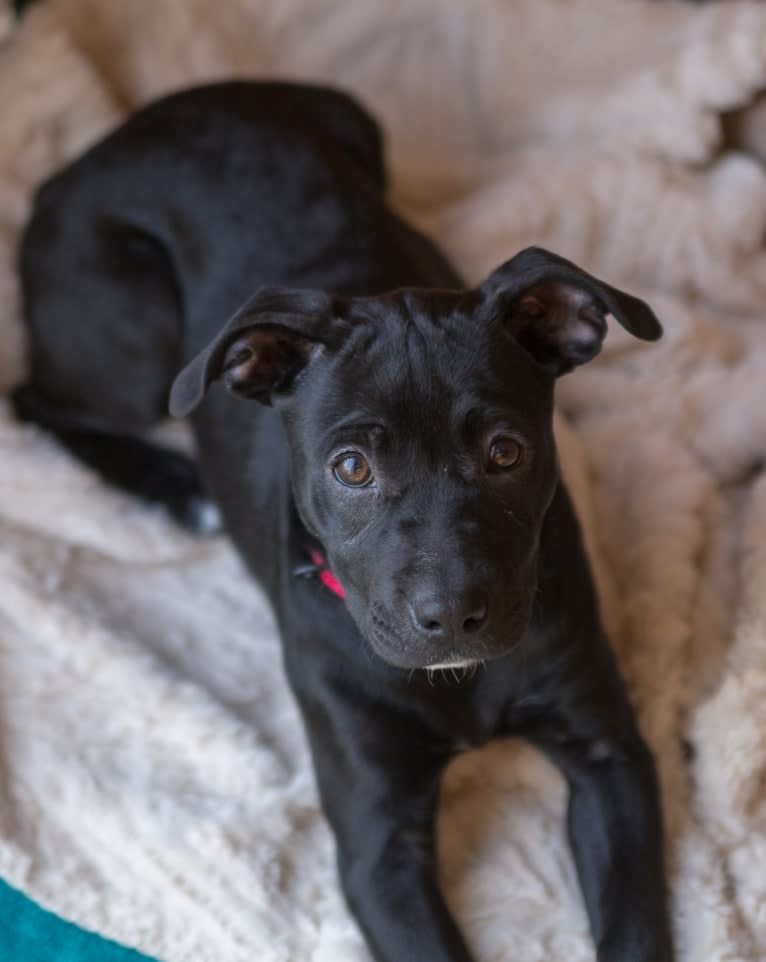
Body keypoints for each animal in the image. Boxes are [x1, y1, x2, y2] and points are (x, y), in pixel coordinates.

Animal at [15, 82, 676, 960]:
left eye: (505, 451)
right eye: (352, 468)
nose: (451, 618)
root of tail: (104, 144)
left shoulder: (610, 756)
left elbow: (634, 926)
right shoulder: (376, 840)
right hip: (136, 341)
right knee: (32, 399)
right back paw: (174, 483)